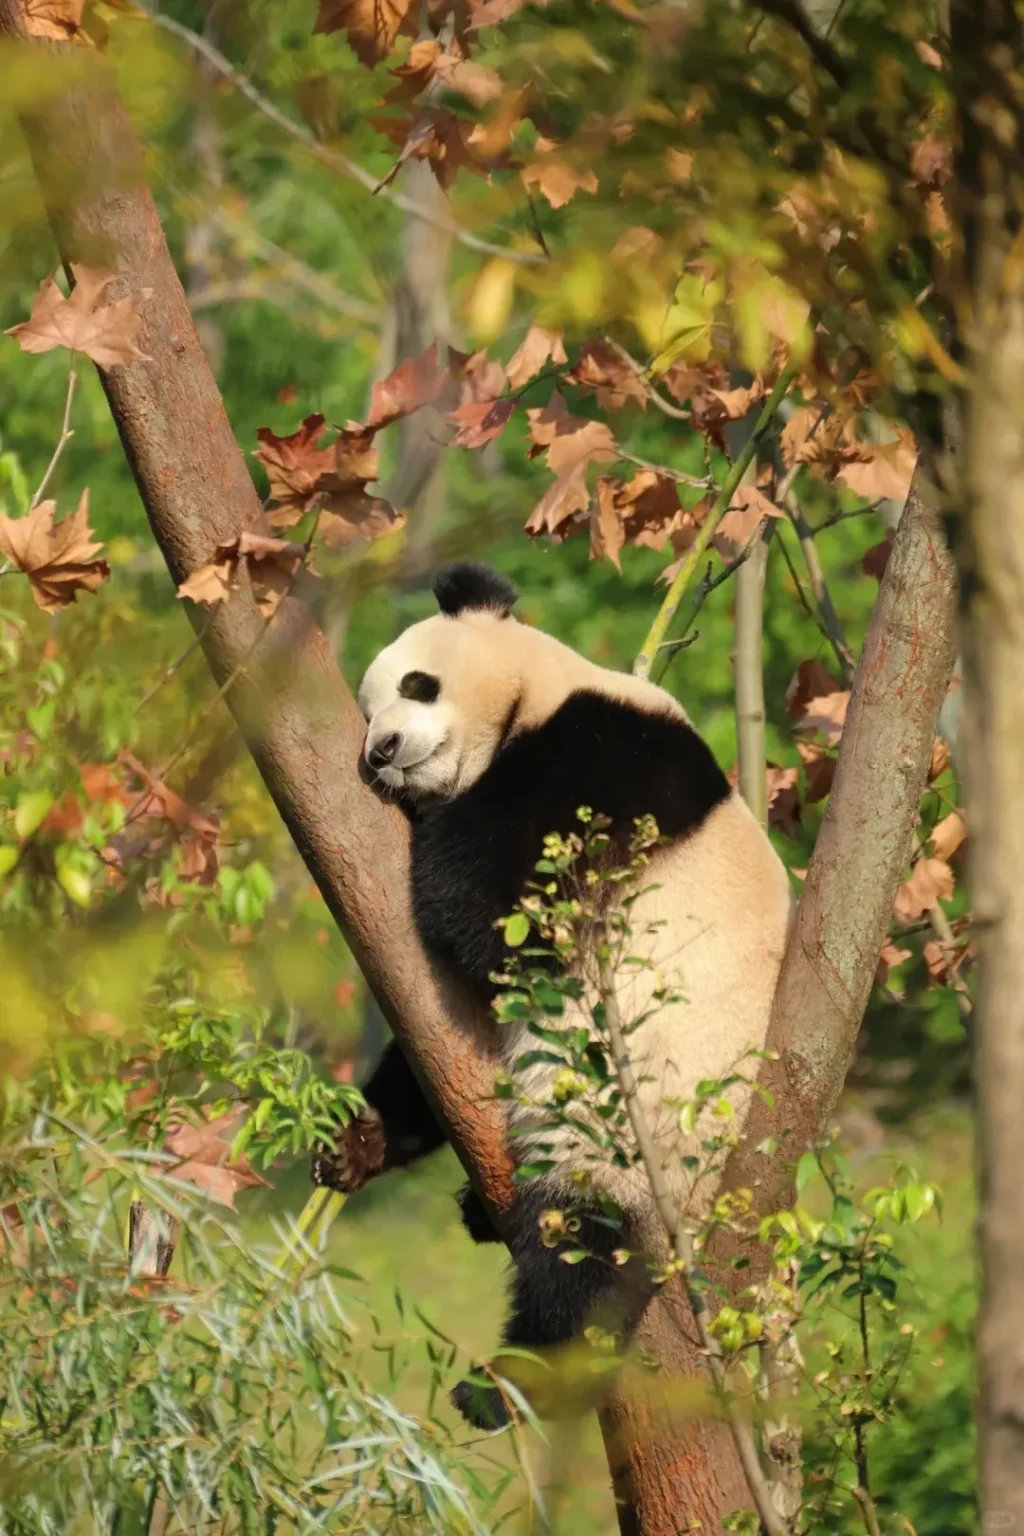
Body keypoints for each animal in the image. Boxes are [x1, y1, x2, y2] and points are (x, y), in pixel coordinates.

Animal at [314, 560, 792, 1428]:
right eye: (365, 715)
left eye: (416, 684)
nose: (384, 752)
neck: (540, 691)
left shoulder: (605, 762)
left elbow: (496, 913)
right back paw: (375, 1149)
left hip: (639, 1141)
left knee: (582, 1248)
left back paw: (509, 1384)